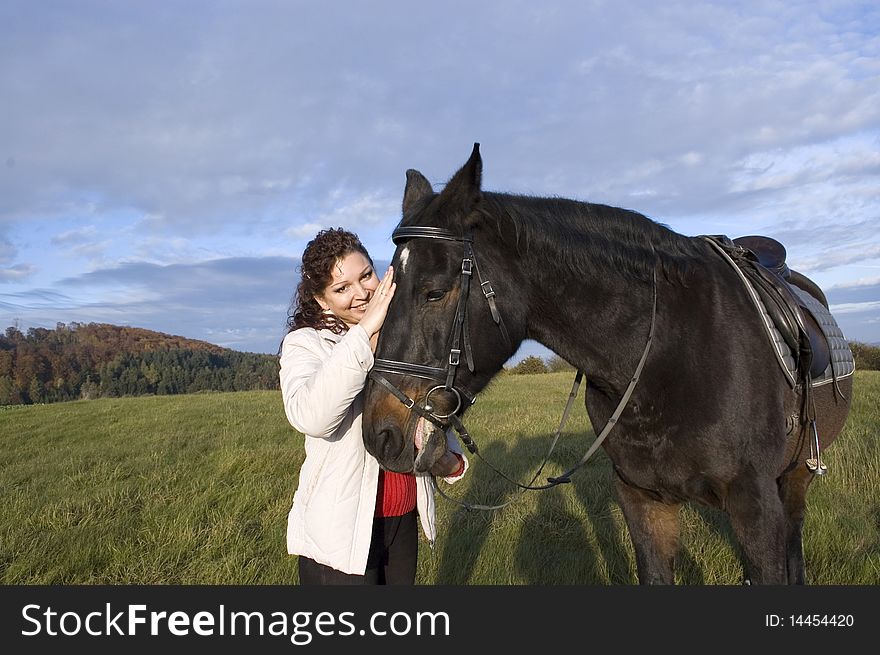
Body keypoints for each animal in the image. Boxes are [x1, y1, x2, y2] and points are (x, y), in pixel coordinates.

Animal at [360, 144, 852, 584]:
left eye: (435, 292)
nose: (379, 434)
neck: (669, 355)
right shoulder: (643, 501)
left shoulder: (756, 506)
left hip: (795, 480)